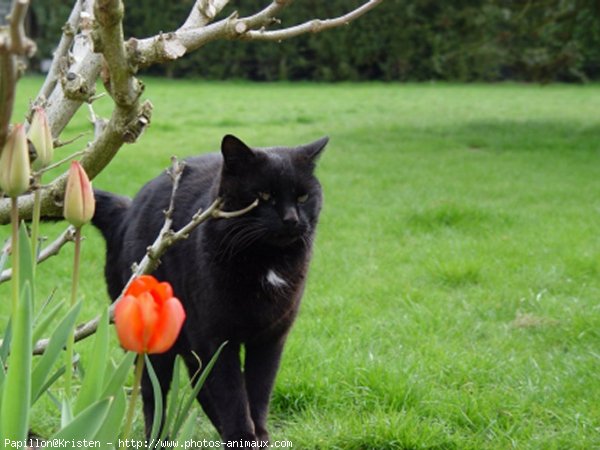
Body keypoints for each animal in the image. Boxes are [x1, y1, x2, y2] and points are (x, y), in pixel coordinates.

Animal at [92, 134, 328, 446]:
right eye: (264, 196)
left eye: (303, 197)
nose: (292, 219)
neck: (265, 261)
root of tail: (127, 211)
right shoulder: (215, 337)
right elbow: (231, 393)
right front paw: (242, 437)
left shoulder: (270, 338)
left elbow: (258, 391)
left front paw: (258, 437)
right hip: (155, 342)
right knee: (155, 393)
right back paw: (159, 439)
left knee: (200, 385)